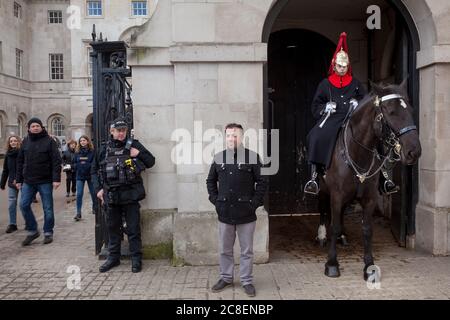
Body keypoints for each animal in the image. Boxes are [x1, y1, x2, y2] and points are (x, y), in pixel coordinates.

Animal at [314, 79, 420, 278]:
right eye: (391, 112)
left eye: (410, 110)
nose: (414, 151)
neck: (358, 152)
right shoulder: (336, 195)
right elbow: (334, 226)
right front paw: (332, 264)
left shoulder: (369, 198)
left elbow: (367, 229)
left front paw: (369, 266)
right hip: (323, 190)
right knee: (324, 210)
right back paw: (322, 235)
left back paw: (342, 236)